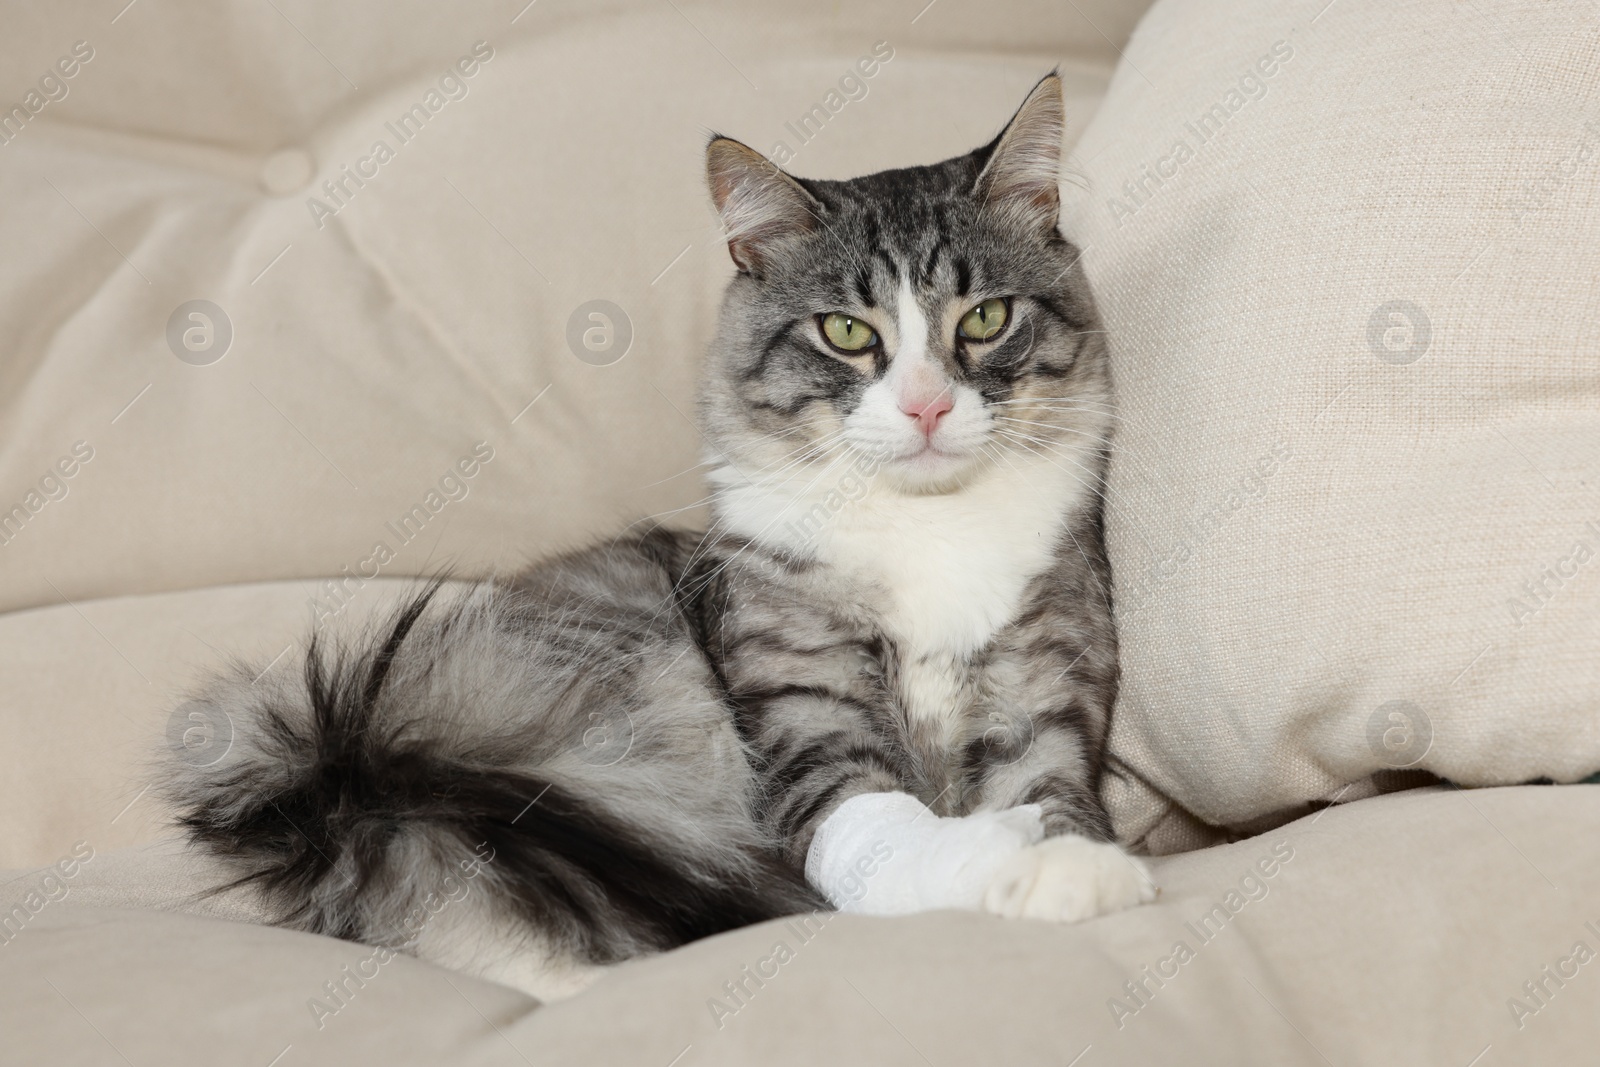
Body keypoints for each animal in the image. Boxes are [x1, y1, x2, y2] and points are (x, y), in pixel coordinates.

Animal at [162, 73, 1158, 1004]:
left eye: (984, 318)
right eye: (846, 332)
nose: (925, 408)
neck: (929, 524)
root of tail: (349, 764)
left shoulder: (1040, 691)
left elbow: (1051, 798)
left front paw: (1073, 865)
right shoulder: (813, 724)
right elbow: (896, 836)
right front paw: (1016, 865)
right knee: (473, 912)